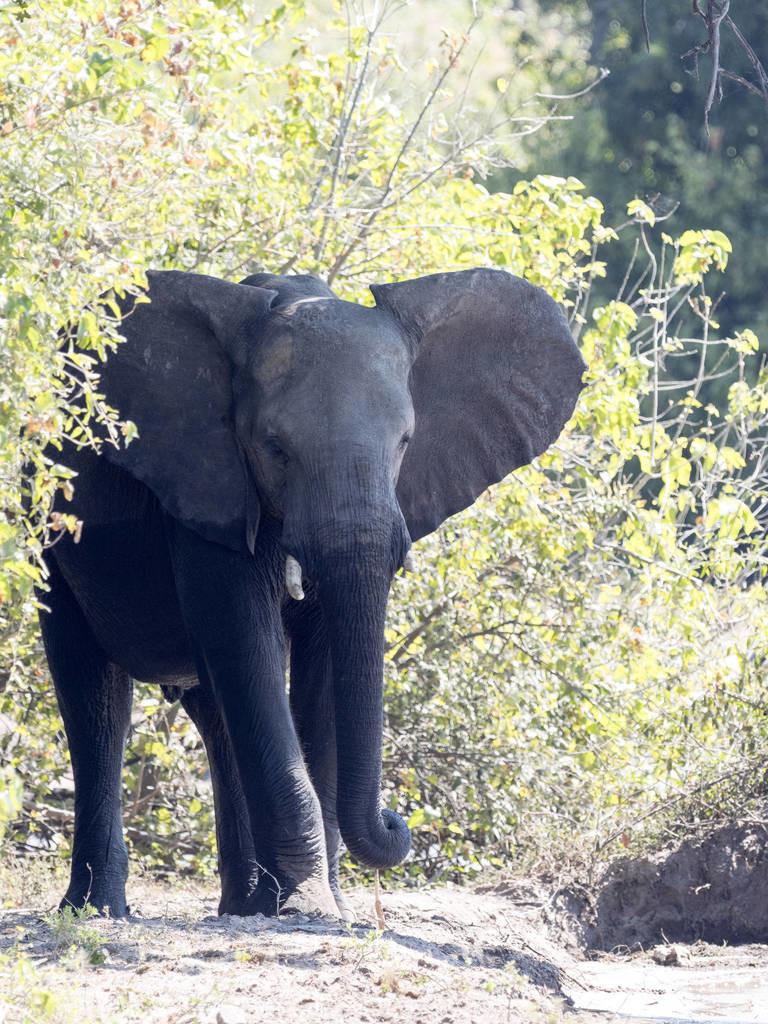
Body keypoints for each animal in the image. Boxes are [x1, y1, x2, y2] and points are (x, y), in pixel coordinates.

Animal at [39, 266, 585, 921]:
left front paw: (323, 906)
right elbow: (245, 639)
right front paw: (305, 905)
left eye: (405, 443)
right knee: (96, 696)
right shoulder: (210, 486)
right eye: (275, 448)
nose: (396, 822)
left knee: (213, 709)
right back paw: (96, 912)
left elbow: (319, 664)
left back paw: (243, 907)